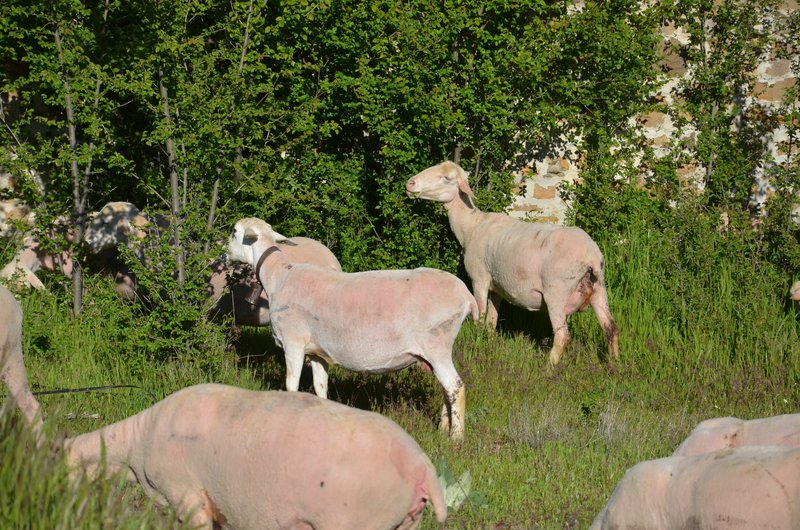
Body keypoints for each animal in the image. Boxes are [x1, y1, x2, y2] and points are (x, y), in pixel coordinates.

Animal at [225, 214, 478, 438]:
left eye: (234, 231)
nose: (224, 254)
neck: (279, 277)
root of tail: (467, 296)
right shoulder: (317, 352)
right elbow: (320, 387)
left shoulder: (293, 342)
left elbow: (291, 385)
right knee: (446, 389)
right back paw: (442, 430)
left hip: (437, 344)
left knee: (455, 387)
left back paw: (455, 438)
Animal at [406, 161, 620, 366]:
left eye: (447, 178)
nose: (410, 183)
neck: (472, 226)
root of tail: (590, 255)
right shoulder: (497, 288)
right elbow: (491, 321)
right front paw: (489, 345)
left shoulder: (480, 278)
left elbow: (480, 318)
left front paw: (477, 345)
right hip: (598, 287)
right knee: (611, 328)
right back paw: (613, 366)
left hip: (557, 292)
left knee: (562, 336)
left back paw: (549, 368)